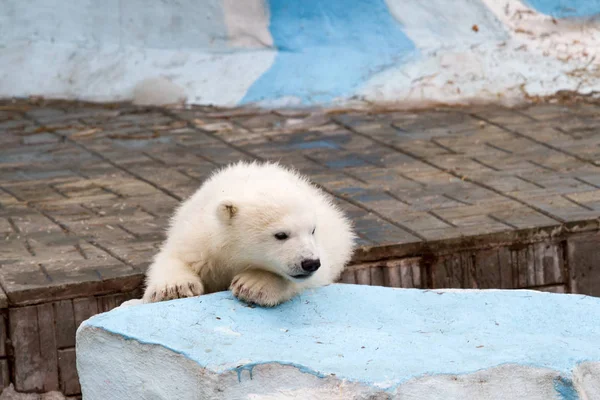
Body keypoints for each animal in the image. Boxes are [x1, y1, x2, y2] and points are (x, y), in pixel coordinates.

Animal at [142, 161, 354, 308]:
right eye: (281, 234)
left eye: (312, 230)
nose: (310, 263)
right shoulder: (199, 237)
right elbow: (174, 256)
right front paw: (174, 288)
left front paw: (254, 285)